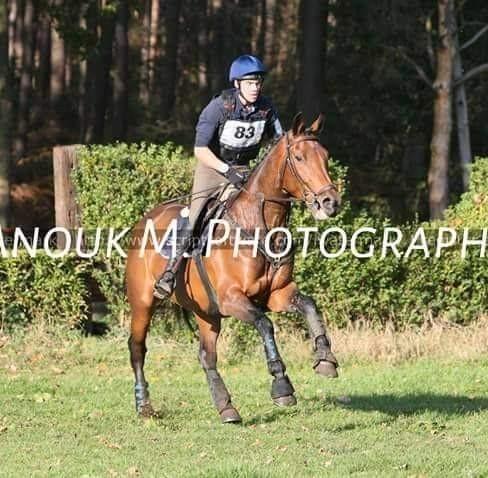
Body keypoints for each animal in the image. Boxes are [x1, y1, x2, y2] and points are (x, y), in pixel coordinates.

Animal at [125, 112, 340, 422]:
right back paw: (144, 406)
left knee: (206, 355)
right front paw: (282, 386)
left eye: (325, 156)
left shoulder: (278, 294)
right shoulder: (232, 299)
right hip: (143, 301)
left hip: (206, 311)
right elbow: (265, 325)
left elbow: (310, 306)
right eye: (299, 158)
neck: (260, 226)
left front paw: (325, 359)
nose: (330, 202)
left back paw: (226, 407)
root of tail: (144, 220)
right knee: (138, 348)